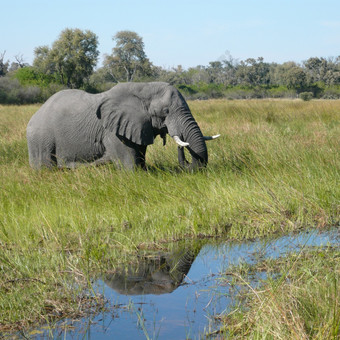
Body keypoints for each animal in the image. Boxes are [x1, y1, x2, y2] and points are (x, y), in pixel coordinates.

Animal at [25, 82, 218, 170]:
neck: (143, 87)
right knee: (45, 165)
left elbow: (140, 156)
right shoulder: (113, 132)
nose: (181, 142)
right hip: (41, 139)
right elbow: (129, 165)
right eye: (165, 111)